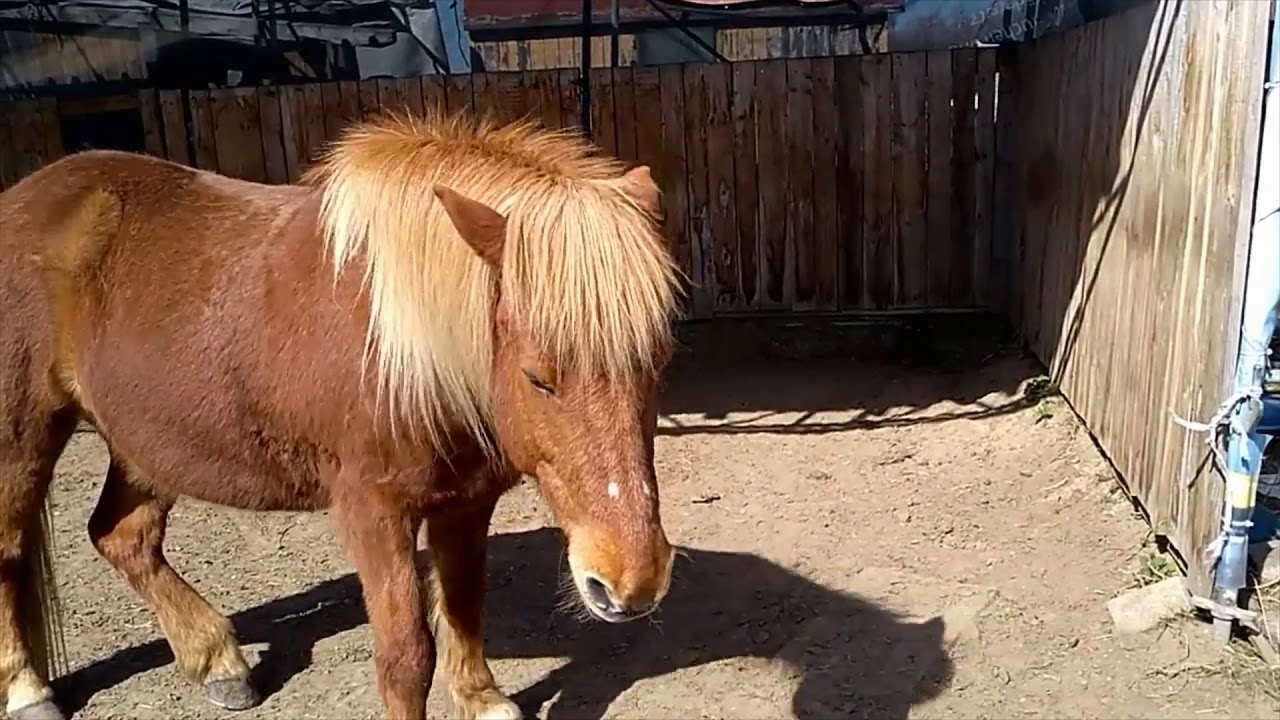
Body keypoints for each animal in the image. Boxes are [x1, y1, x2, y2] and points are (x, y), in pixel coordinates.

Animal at [0, 110, 684, 720]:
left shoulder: (466, 502)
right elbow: (406, 656)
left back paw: (219, 663)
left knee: (122, 536)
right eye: (538, 377)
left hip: (147, 445)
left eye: (657, 362)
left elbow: (464, 603)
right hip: (23, 439)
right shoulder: (372, 514)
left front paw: (482, 699)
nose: (631, 582)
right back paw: (27, 691)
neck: (407, 350)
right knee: (11, 548)